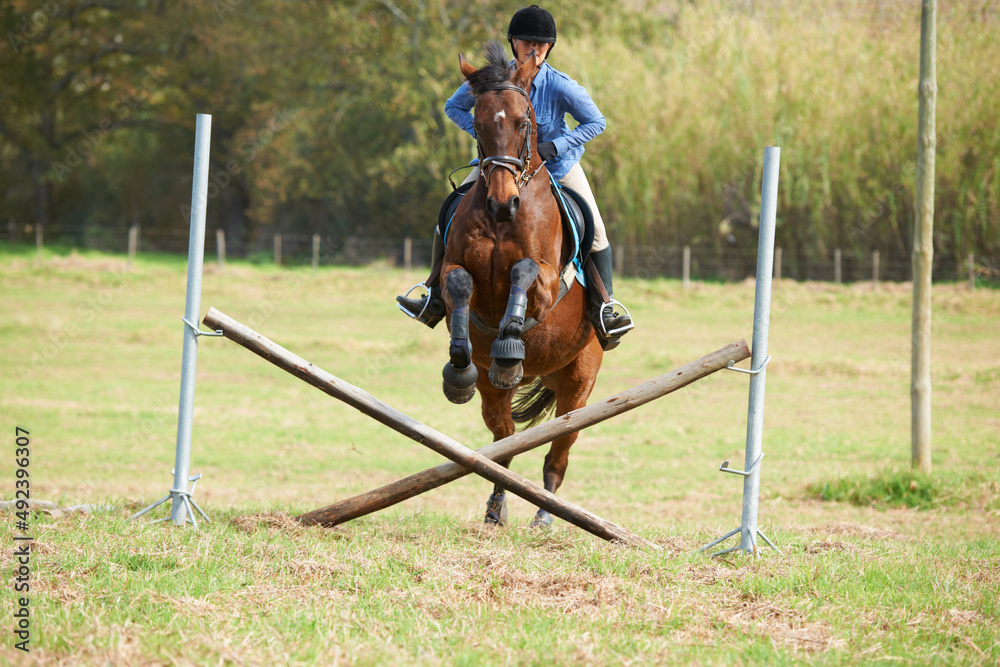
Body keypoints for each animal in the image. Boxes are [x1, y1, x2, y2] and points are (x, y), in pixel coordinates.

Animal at [438, 44, 600, 528]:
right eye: (477, 123)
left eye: (524, 122)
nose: (502, 203)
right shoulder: (455, 267)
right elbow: (458, 283)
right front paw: (458, 362)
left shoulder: (545, 285)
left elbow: (523, 272)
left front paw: (510, 342)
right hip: (495, 392)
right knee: (504, 443)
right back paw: (496, 510)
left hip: (579, 384)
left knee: (558, 451)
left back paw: (546, 515)